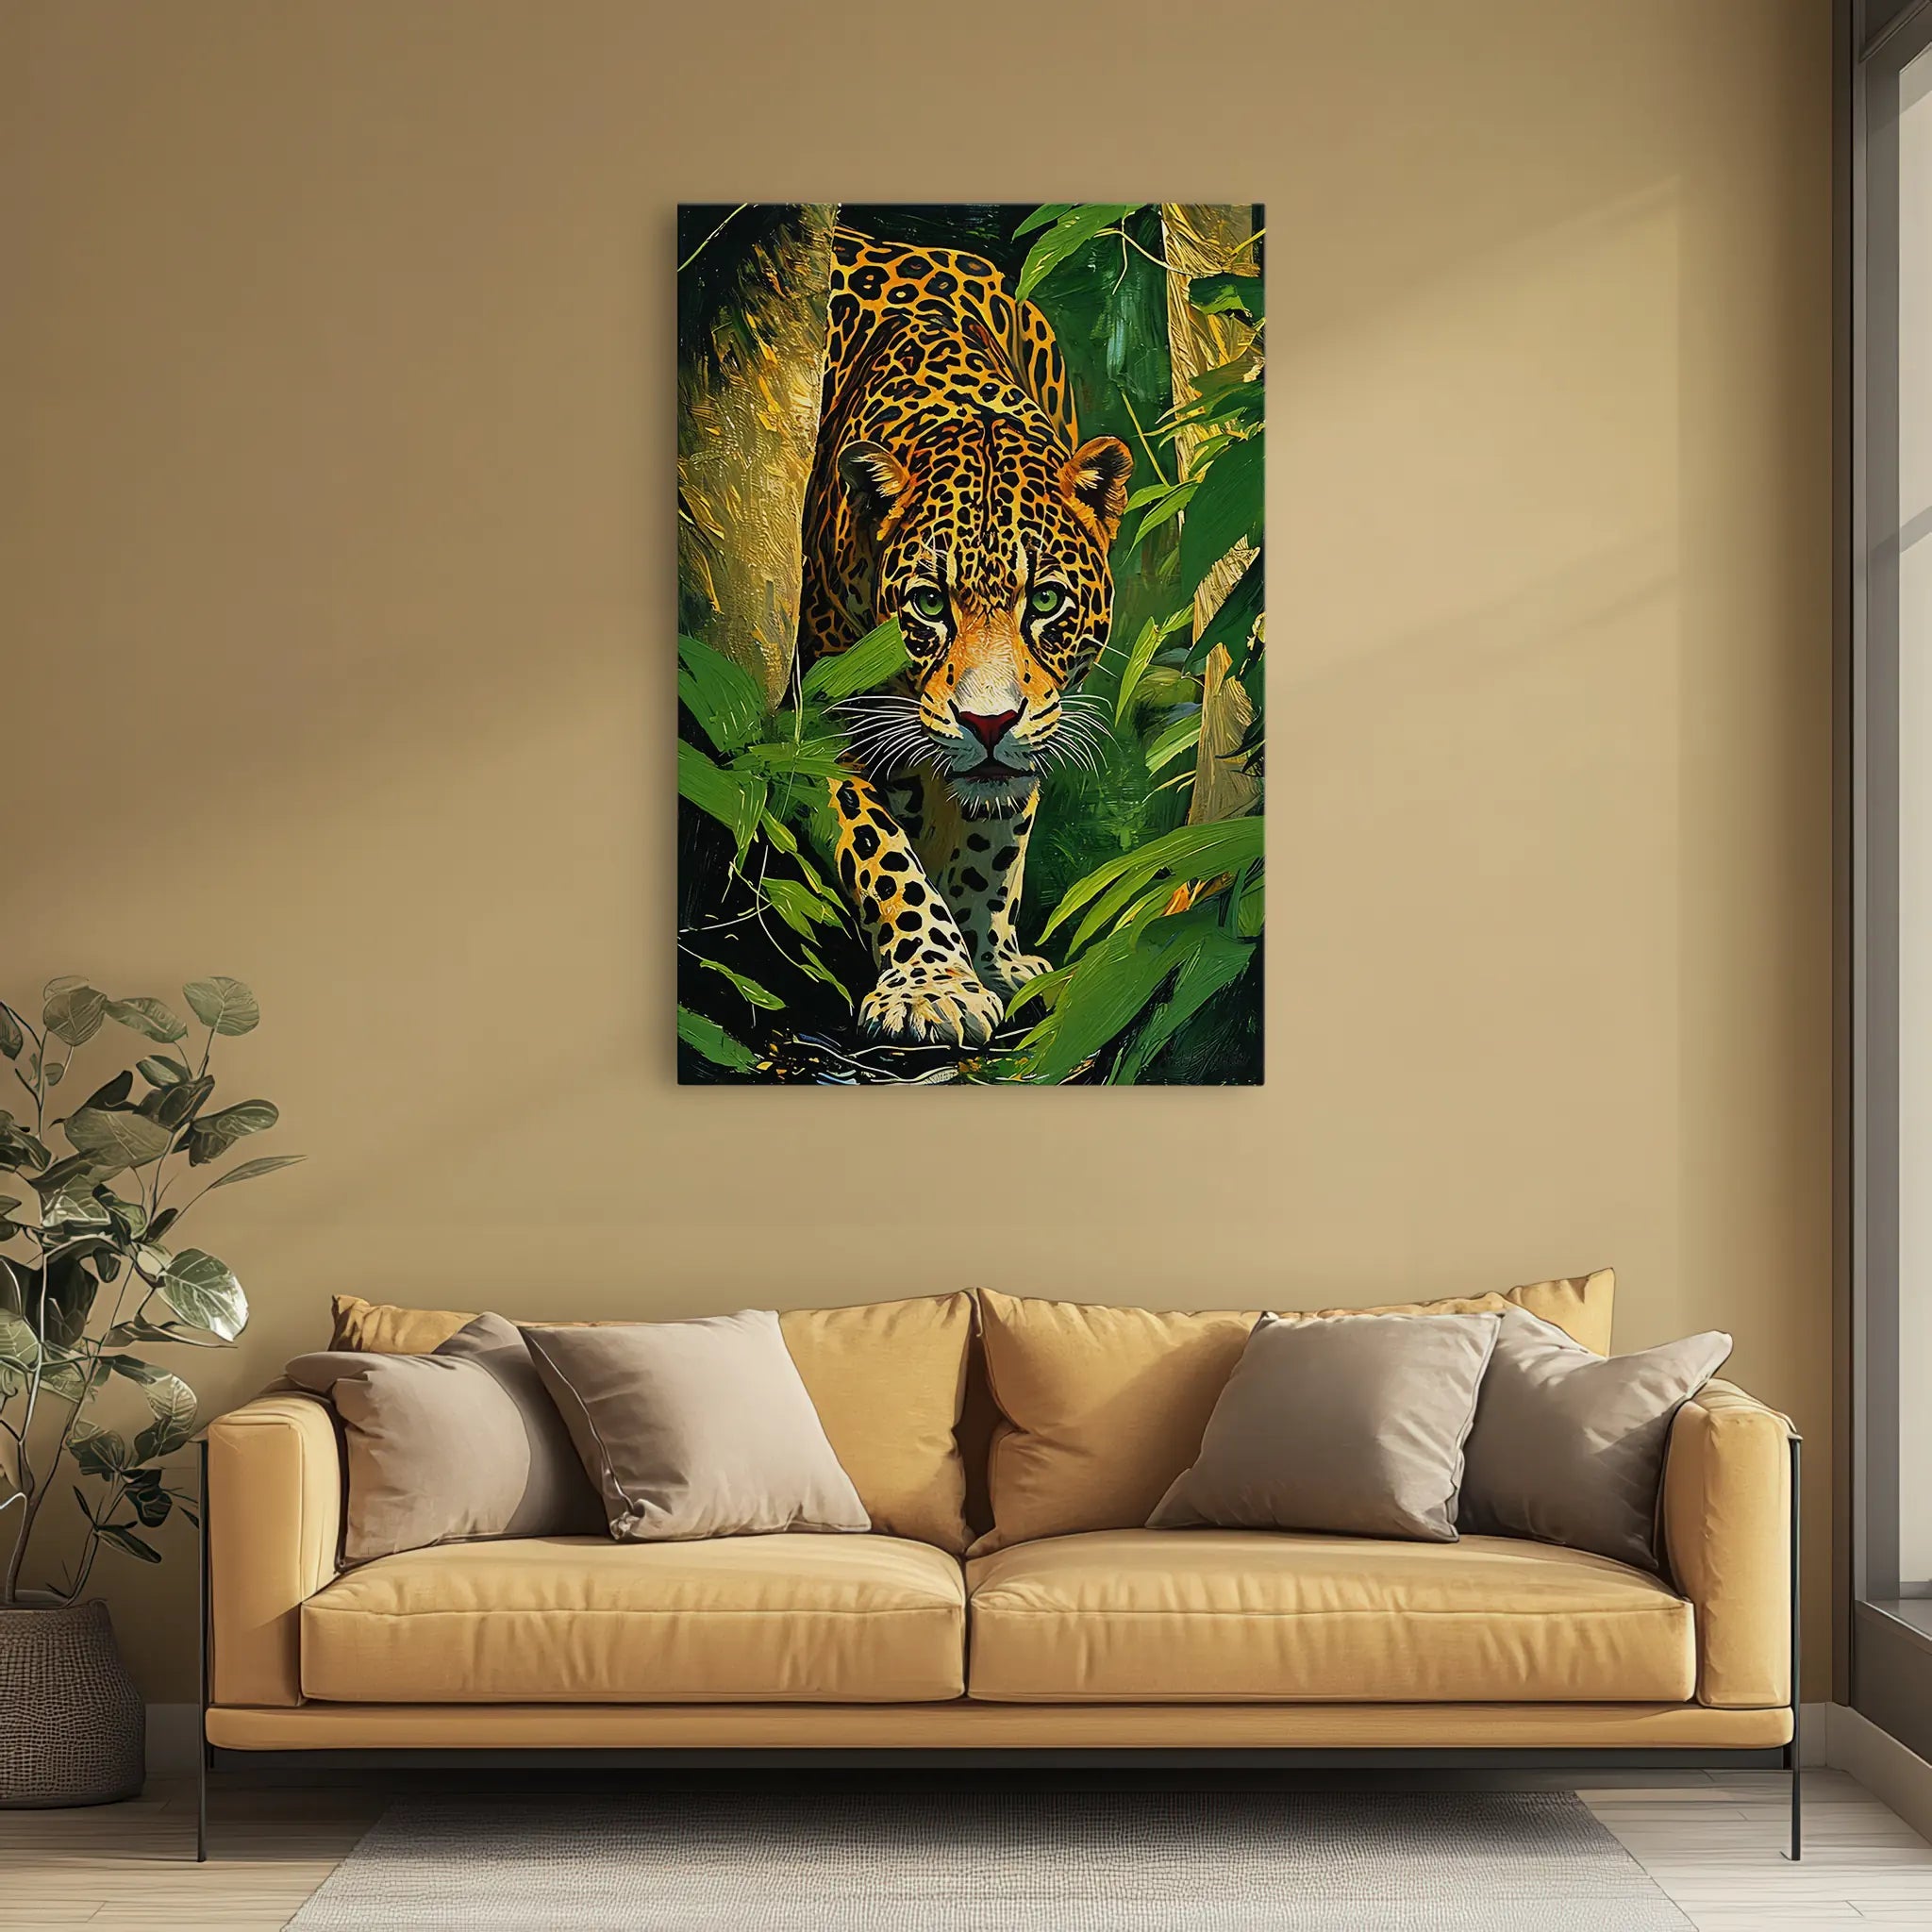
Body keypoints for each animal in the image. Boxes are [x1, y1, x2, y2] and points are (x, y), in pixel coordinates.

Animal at [799, 226, 1133, 1049]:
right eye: (927, 603)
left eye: (1044, 600)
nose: (988, 723)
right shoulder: (822, 717)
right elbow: (881, 851)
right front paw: (933, 983)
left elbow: (995, 839)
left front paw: (990, 959)